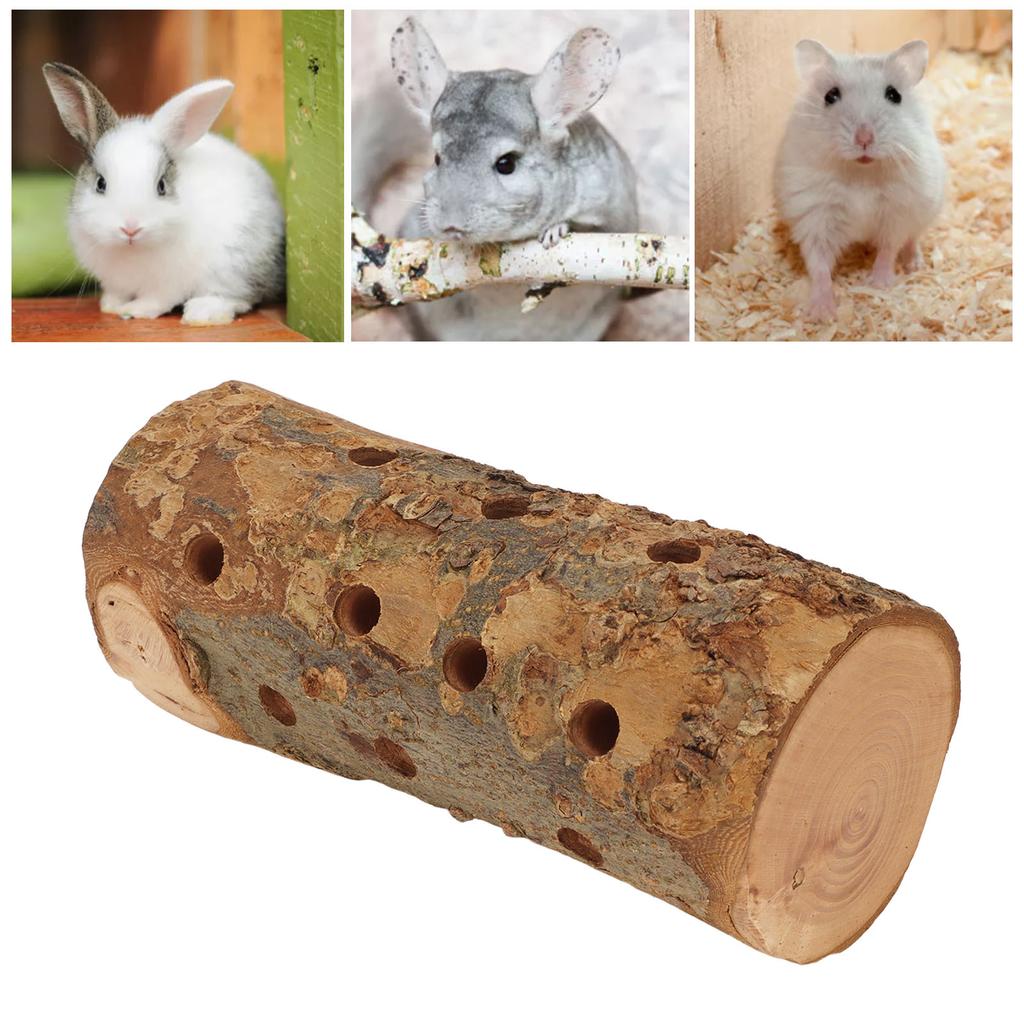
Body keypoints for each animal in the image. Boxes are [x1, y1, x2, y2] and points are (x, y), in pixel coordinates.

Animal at [42, 63, 284, 325]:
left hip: (234, 265)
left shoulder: (168, 284)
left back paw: (201, 313)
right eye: (100, 183)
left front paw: (134, 310)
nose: (130, 228)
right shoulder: (116, 282)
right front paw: (110, 306)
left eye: (161, 186)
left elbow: (157, 300)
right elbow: (117, 293)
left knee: (238, 297)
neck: (132, 250)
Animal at [774, 40, 945, 321]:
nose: (864, 138)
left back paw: (914, 265)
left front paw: (878, 285)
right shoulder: (815, 218)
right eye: (830, 96)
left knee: (912, 238)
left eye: (894, 95)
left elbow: (888, 248)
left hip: (924, 211)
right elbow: (819, 265)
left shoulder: (897, 212)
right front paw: (822, 313)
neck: (861, 173)